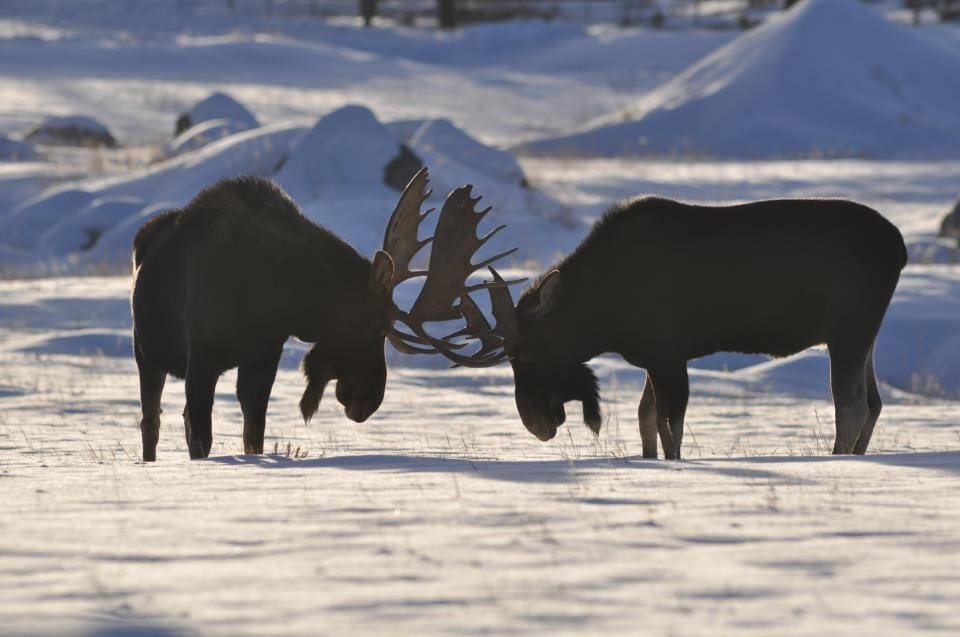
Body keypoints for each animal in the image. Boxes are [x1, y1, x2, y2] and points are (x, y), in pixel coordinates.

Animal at [133, 166, 516, 460]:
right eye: (380, 328)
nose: (369, 400)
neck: (280, 298)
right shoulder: (202, 356)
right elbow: (202, 438)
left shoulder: (265, 355)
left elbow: (253, 434)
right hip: (145, 352)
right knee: (151, 422)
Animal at [458, 196, 908, 460]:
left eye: (525, 352)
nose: (533, 422)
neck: (602, 315)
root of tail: (899, 248)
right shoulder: (655, 358)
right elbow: (646, 418)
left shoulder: (668, 355)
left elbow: (667, 425)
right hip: (863, 335)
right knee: (874, 401)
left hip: (848, 329)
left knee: (850, 403)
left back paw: (838, 458)